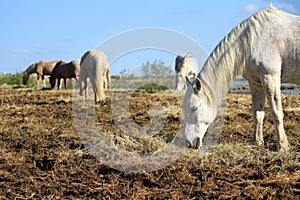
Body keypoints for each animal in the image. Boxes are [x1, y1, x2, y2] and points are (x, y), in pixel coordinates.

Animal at [183, 5, 300, 152]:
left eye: (194, 108)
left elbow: (276, 112)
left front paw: (282, 146)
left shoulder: (270, 78)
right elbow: (257, 113)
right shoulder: (256, 83)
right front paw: (257, 142)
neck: (253, 40)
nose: (189, 143)